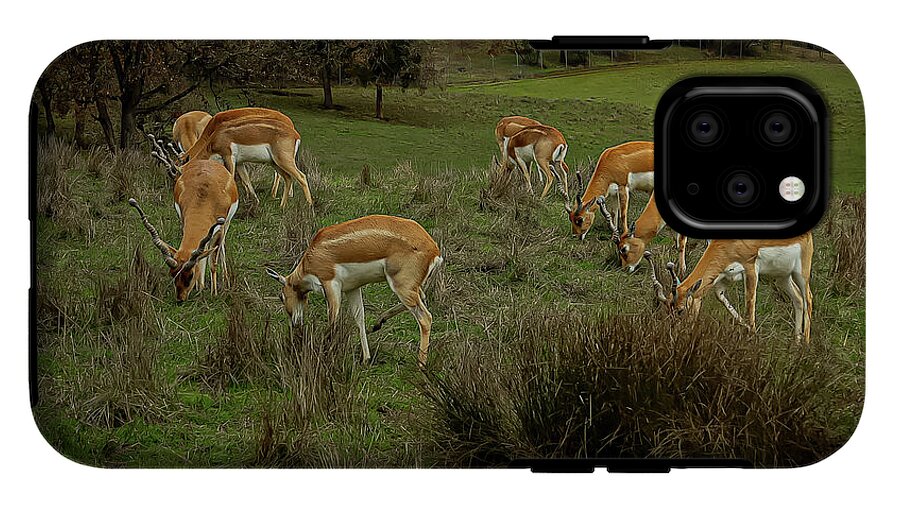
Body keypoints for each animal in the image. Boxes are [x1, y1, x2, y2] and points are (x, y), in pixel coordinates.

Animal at [130, 135, 239, 302]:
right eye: (173, 274)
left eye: (190, 275)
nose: (180, 299)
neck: (205, 196)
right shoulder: (184, 219)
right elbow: (200, 255)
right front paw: (200, 287)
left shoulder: (219, 227)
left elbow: (213, 261)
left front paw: (213, 293)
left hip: (226, 224)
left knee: (220, 248)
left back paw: (225, 279)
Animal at [181, 107, 311, 208]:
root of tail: (295, 134)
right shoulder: (239, 163)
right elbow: (246, 180)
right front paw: (254, 201)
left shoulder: (229, 157)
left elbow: (231, 178)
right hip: (275, 162)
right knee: (288, 177)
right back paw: (282, 205)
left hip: (283, 160)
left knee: (301, 176)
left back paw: (308, 206)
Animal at [265, 215, 443, 367]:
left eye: (281, 296)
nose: (295, 323)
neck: (311, 257)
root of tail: (434, 250)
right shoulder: (352, 288)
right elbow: (359, 318)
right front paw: (366, 358)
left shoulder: (330, 284)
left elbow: (333, 320)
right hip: (409, 287)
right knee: (422, 298)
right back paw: (378, 323)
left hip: (401, 286)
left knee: (425, 318)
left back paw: (421, 364)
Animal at [645, 231, 814, 343]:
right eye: (667, 309)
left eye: (680, 310)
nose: (674, 334)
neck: (730, 244)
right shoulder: (724, 277)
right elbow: (721, 298)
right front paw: (748, 329)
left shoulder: (751, 270)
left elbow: (750, 303)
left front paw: (751, 335)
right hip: (782, 277)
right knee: (798, 299)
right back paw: (796, 342)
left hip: (801, 273)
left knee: (808, 299)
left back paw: (805, 344)